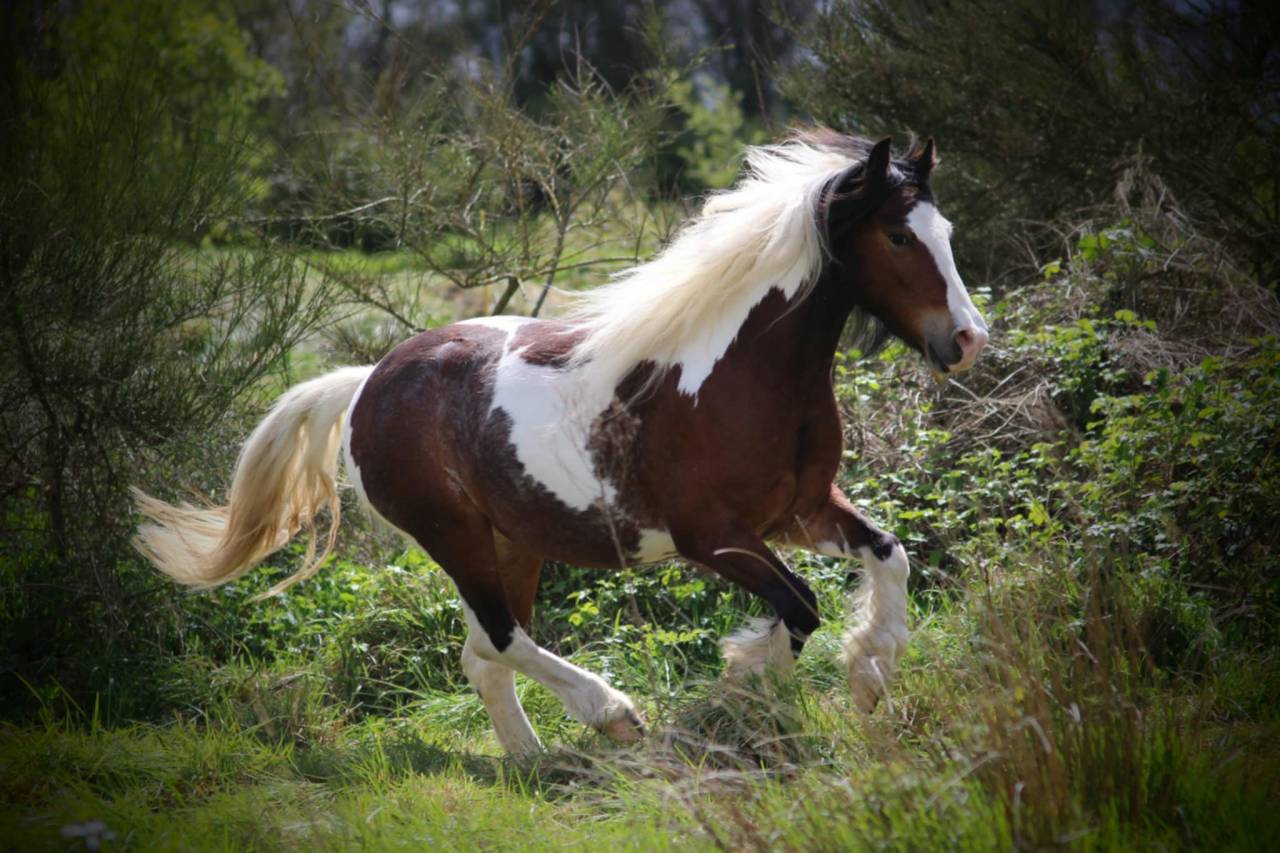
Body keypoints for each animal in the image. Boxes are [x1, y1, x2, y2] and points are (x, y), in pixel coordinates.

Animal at [134, 130, 989, 754]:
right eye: (897, 236)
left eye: (943, 230)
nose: (968, 340)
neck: (741, 375)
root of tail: (367, 382)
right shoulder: (713, 536)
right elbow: (800, 606)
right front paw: (742, 694)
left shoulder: (801, 510)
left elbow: (887, 555)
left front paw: (867, 675)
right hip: (453, 535)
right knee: (503, 638)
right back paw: (612, 715)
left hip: (514, 542)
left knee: (480, 653)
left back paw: (534, 759)